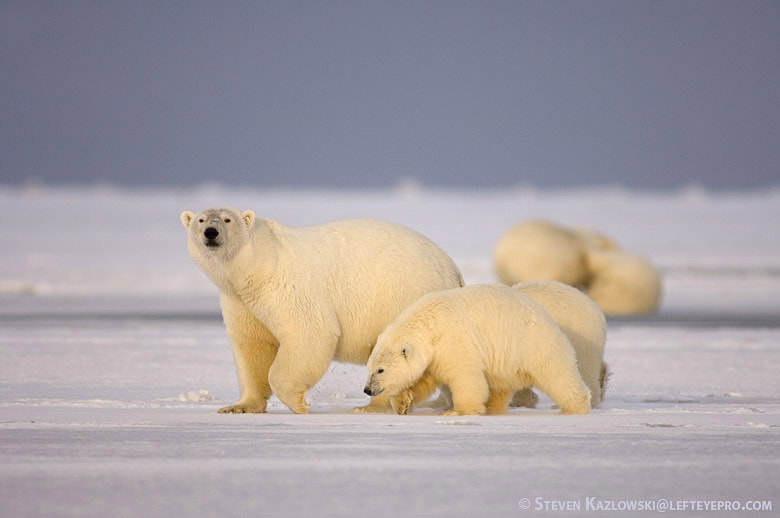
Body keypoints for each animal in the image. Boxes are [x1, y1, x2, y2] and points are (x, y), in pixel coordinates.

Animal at [180, 209, 466, 416]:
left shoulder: (286, 284)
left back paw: (382, 404)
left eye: (227, 219)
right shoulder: (239, 301)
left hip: (406, 292)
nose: (211, 232)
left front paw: (299, 404)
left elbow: (309, 332)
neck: (260, 262)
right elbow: (251, 346)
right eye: (201, 219)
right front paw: (238, 407)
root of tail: (452, 268)